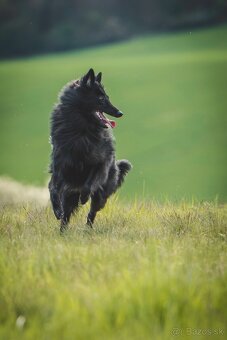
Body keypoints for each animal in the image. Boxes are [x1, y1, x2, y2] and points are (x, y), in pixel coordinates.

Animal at [48, 67, 132, 232]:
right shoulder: (60, 167)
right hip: (69, 194)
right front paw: (56, 210)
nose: (120, 113)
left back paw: (87, 228)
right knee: (66, 216)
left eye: (107, 97)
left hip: (101, 195)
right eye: (100, 98)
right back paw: (62, 232)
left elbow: (88, 185)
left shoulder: (100, 165)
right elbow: (52, 188)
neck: (81, 130)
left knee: (91, 213)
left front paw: (84, 197)